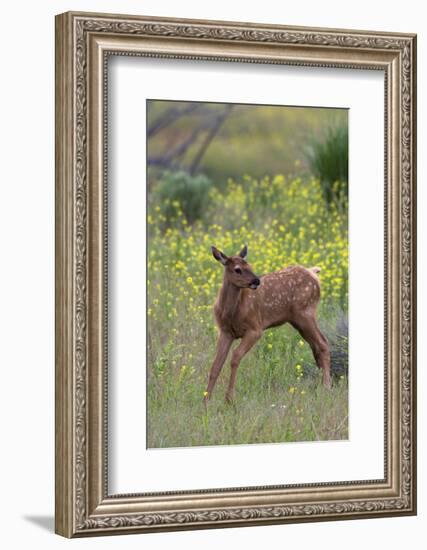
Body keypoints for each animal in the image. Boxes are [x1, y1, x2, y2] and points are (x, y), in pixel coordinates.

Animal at [206, 246, 332, 406]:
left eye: (250, 266)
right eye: (237, 269)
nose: (256, 281)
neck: (231, 313)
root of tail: (313, 273)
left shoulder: (255, 328)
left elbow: (235, 357)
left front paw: (229, 399)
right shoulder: (225, 331)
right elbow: (216, 364)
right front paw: (206, 400)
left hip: (306, 313)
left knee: (323, 343)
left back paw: (326, 387)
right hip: (298, 320)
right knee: (316, 346)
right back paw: (321, 384)